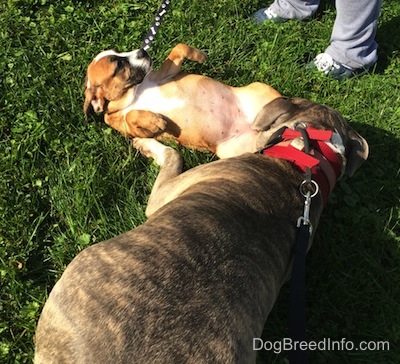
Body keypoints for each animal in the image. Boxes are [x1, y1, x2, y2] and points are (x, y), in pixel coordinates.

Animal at [83, 42, 282, 158]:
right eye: (118, 64)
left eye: (119, 51)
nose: (143, 51)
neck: (134, 93)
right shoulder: (130, 129)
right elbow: (132, 116)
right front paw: (156, 121)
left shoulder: (165, 74)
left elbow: (179, 47)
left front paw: (200, 55)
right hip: (235, 150)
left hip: (261, 89)